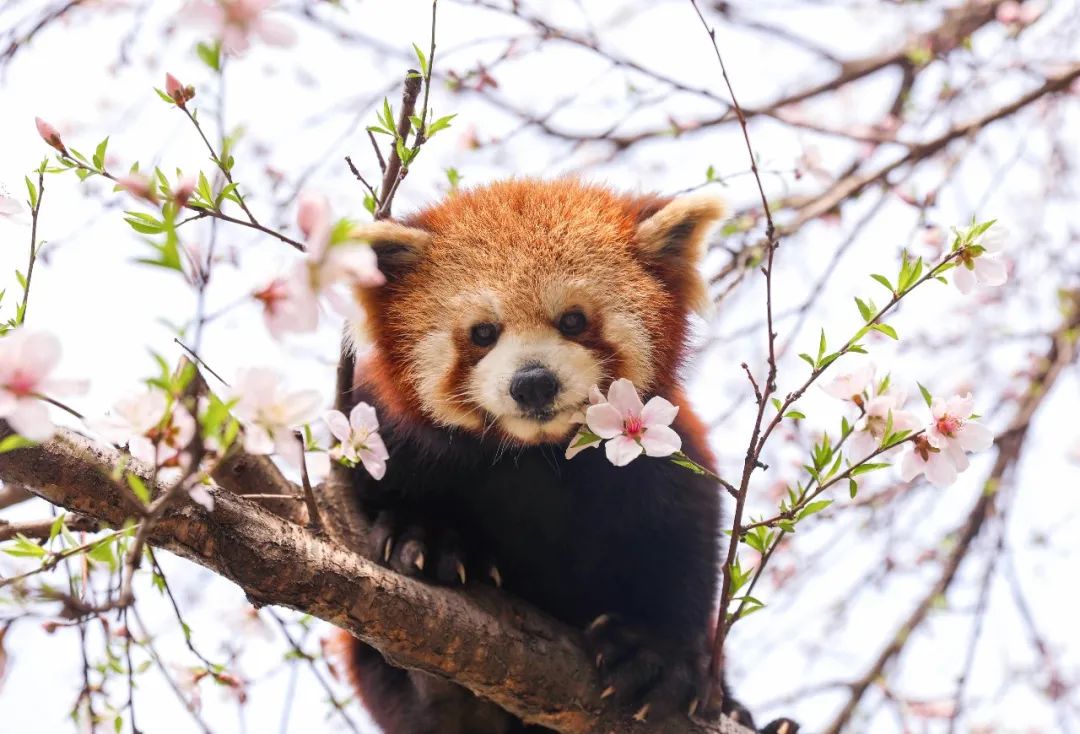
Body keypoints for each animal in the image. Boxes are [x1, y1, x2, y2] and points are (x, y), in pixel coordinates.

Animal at [332, 179, 799, 734]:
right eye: (483, 333)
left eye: (573, 320)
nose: (533, 382)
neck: (537, 456)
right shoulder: (381, 430)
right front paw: (425, 534)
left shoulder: (662, 453)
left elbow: (680, 545)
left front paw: (654, 653)